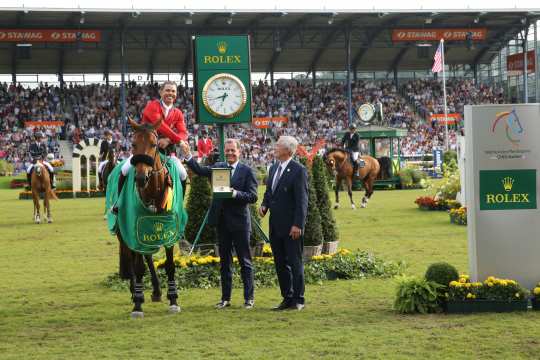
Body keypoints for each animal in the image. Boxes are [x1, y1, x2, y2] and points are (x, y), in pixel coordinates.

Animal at [115, 117, 179, 318]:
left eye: (154, 144)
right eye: (133, 144)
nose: (141, 177)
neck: (152, 191)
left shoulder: (169, 228)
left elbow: (170, 264)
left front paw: (173, 300)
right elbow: (138, 267)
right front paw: (137, 303)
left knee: (147, 256)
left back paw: (157, 291)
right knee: (131, 258)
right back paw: (135, 290)